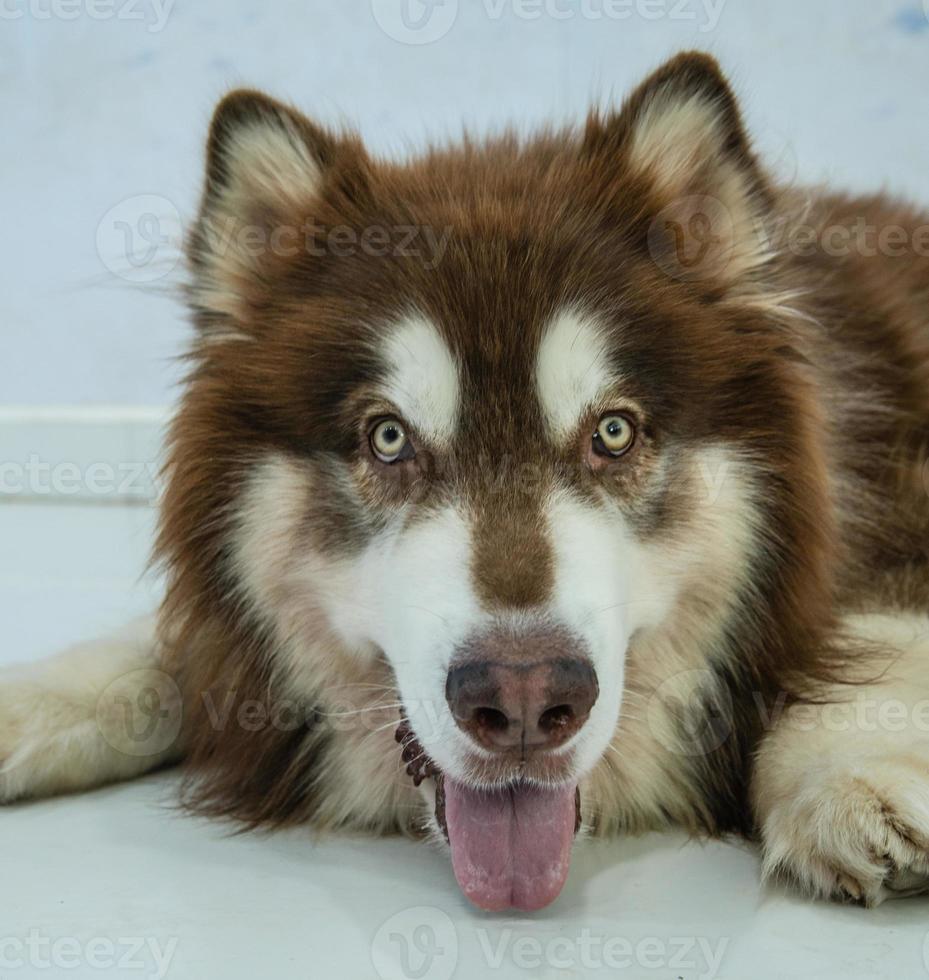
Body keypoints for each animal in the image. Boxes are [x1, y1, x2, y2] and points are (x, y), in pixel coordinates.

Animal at [1, 53, 928, 912]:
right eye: (387, 439)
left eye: (613, 433)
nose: (522, 698)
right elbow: (159, 654)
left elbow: (874, 635)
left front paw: (855, 777)